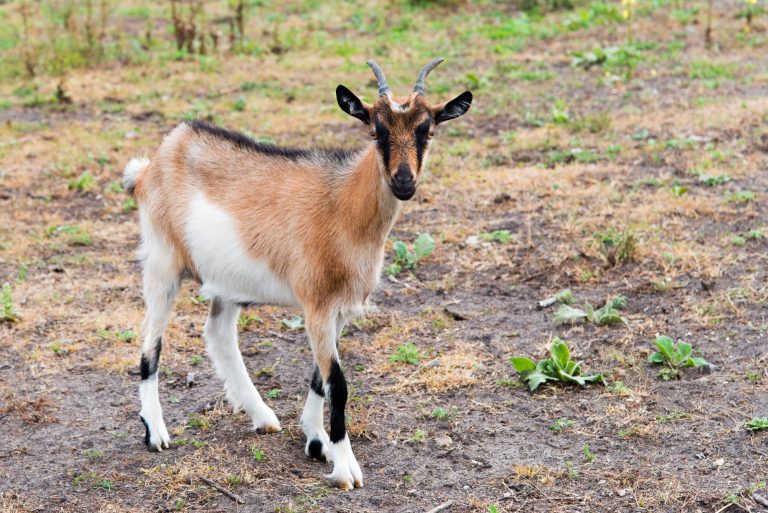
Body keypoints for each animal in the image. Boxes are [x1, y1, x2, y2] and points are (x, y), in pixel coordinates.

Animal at [124, 58, 472, 490]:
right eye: (376, 130)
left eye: (428, 131)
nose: (403, 181)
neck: (342, 206)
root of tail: (154, 163)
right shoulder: (316, 305)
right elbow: (338, 384)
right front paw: (344, 467)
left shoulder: (338, 311)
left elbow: (320, 377)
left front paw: (317, 441)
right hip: (162, 263)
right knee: (151, 344)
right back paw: (156, 432)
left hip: (226, 282)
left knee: (218, 333)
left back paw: (261, 415)